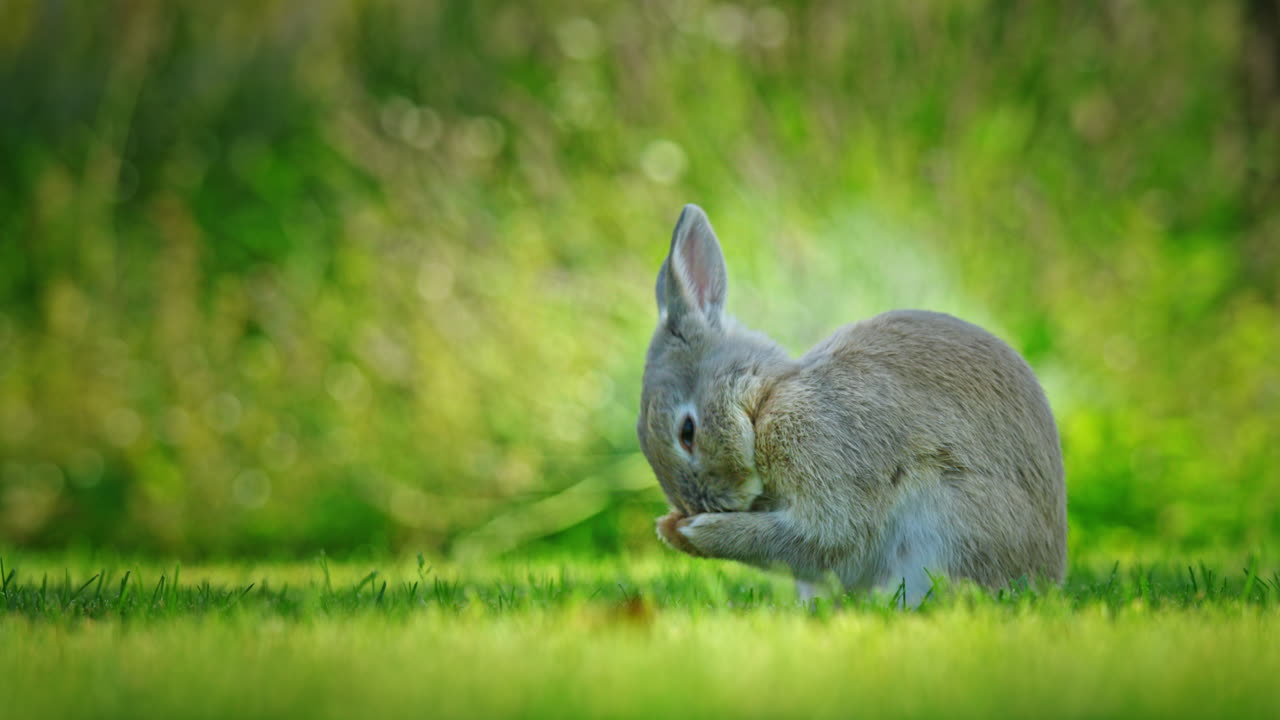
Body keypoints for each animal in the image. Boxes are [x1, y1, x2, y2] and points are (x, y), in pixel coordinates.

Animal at [638, 204, 1066, 605]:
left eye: (687, 432)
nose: (703, 505)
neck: (766, 403)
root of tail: (1050, 573)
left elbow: (822, 539)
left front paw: (690, 532)